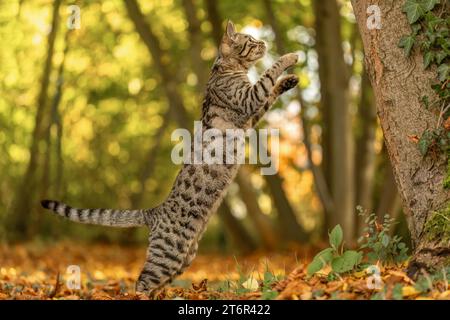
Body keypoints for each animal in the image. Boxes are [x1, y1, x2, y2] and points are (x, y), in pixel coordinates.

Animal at [40, 20, 298, 296]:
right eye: (250, 40)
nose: (264, 42)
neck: (228, 69)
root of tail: (155, 211)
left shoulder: (252, 114)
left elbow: (270, 93)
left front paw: (288, 80)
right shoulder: (248, 99)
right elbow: (268, 75)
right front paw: (289, 58)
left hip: (185, 256)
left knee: (155, 284)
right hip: (169, 253)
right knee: (141, 283)